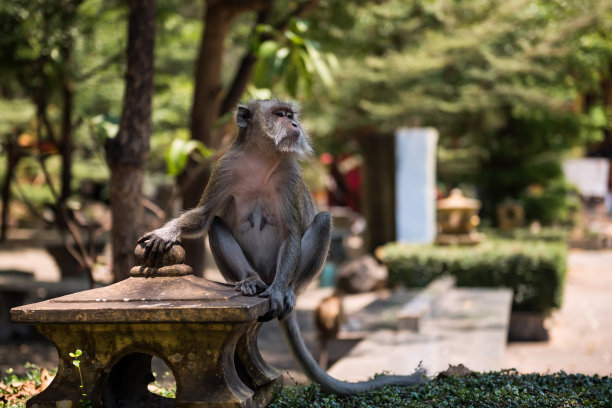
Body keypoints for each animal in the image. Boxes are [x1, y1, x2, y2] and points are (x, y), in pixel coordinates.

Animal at [139, 99, 426, 396]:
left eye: (290, 115)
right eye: (279, 115)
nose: (294, 123)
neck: (261, 158)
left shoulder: (290, 176)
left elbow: (291, 233)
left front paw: (278, 293)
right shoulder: (225, 167)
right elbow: (204, 216)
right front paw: (166, 232)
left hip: (289, 272)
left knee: (323, 221)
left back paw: (287, 290)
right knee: (217, 225)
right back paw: (249, 281)